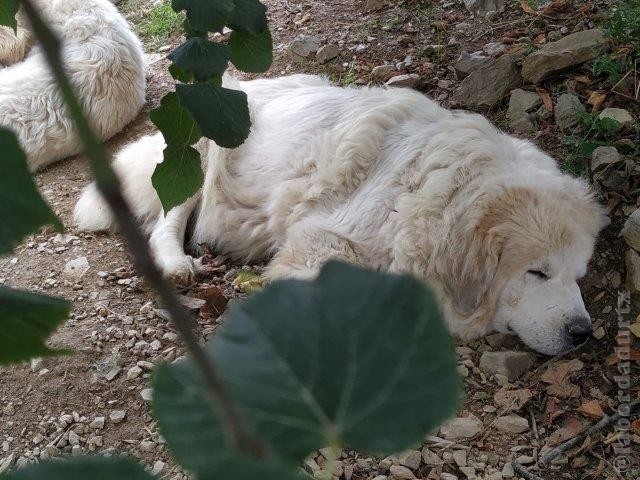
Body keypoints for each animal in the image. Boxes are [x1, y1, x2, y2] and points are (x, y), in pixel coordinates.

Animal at [75, 73, 604, 354]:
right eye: (537, 272)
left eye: (578, 276)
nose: (583, 334)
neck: (431, 195)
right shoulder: (322, 240)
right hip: (200, 155)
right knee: (169, 217)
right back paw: (175, 264)